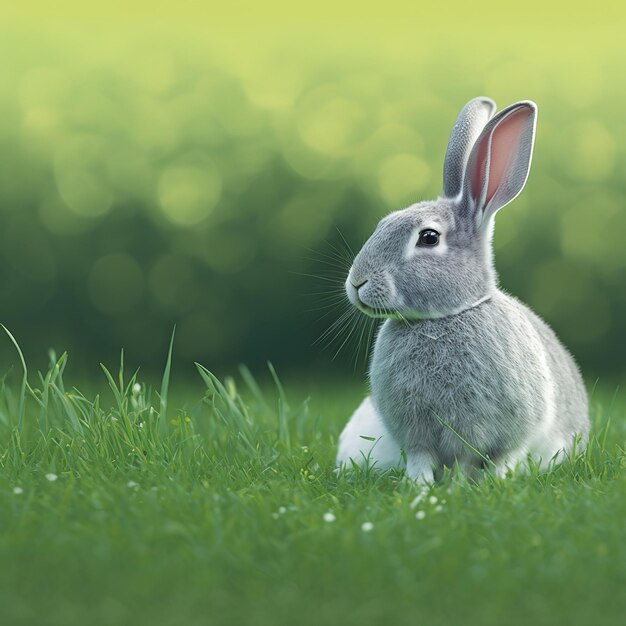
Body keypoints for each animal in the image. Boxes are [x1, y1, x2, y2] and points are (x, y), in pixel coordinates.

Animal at [334, 96, 588, 478]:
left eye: (428, 237)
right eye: (383, 223)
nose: (356, 282)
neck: (443, 318)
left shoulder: (488, 433)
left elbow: (477, 460)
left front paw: (462, 486)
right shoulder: (417, 434)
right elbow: (422, 459)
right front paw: (419, 487)